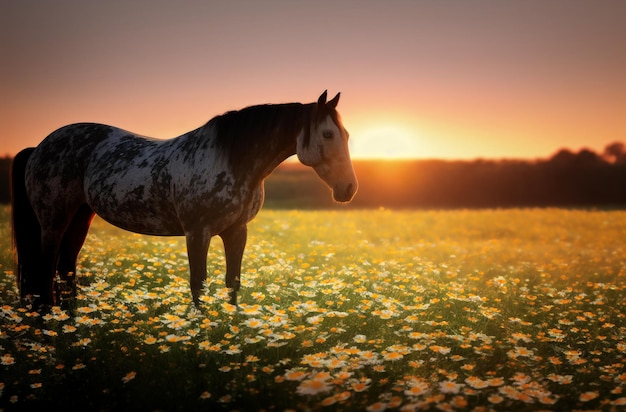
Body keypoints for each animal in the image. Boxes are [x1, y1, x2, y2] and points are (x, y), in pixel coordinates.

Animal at [11, 89, 356, 308]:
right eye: (328, 134)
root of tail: (39, 147)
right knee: (45, 271)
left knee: (66, 269)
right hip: (53, 223)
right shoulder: (197, 233)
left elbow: (232, 282)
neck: (231, 160)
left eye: (347, 135)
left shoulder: (236, 231)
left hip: (81, 218)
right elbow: (199, 284)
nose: (349, 188)